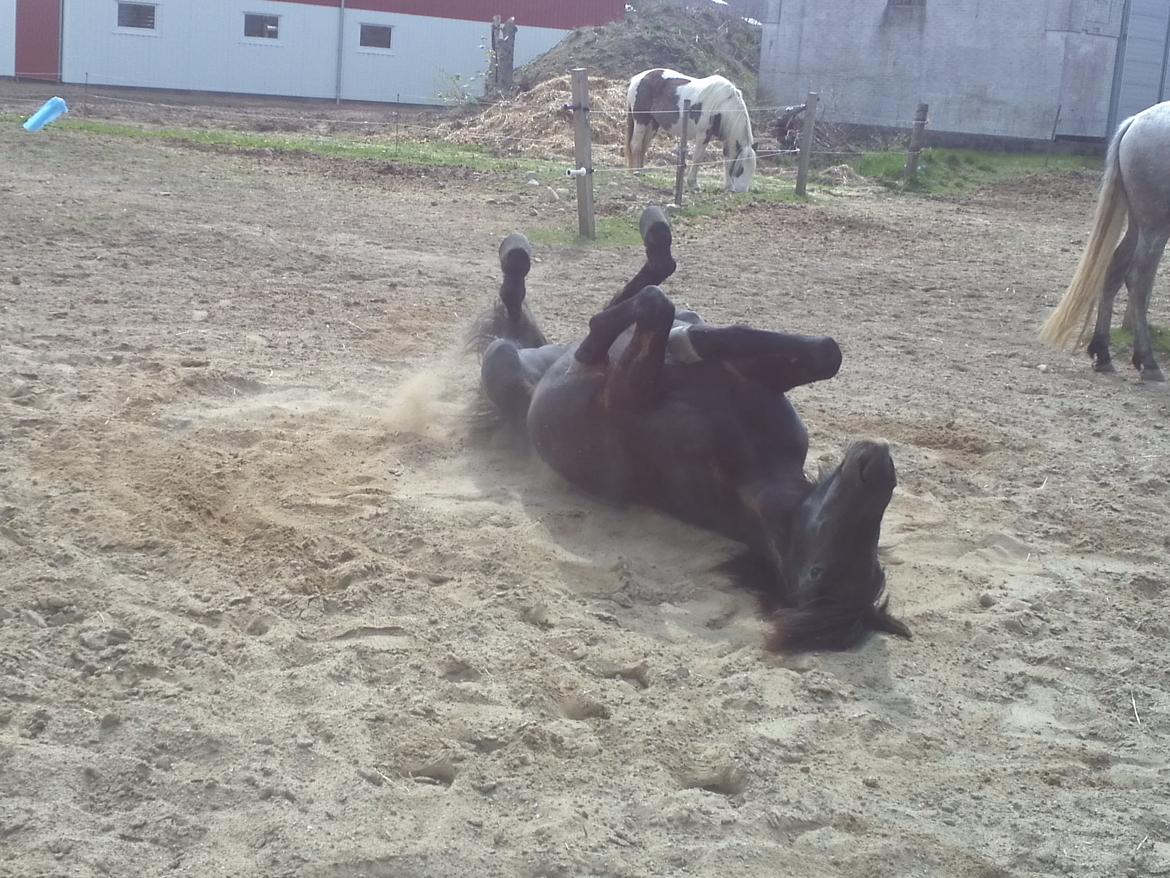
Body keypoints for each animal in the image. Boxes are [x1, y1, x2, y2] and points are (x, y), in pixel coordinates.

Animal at [470, 204, 907, 646]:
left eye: (822, 571)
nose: (878, 465)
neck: (754, 470)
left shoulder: (622, 396)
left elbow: (650, 311)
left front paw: (678, 336)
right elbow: (825, 353)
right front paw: (691, 332)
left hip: (504, 361)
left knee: (523, 324)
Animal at [622, 68, 758, 191]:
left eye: (752, 169)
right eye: (741, 169)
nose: (742, 191)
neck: (723, 106)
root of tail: (638, 78)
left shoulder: (727, 139)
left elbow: (728, 160)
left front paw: (729, 186)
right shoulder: (703, 135)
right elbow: (698, 158)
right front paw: (693, 183)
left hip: (652, 124)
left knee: (643, 146)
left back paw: (641, 171)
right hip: (641, 121)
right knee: (636, 145)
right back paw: (636, 172)